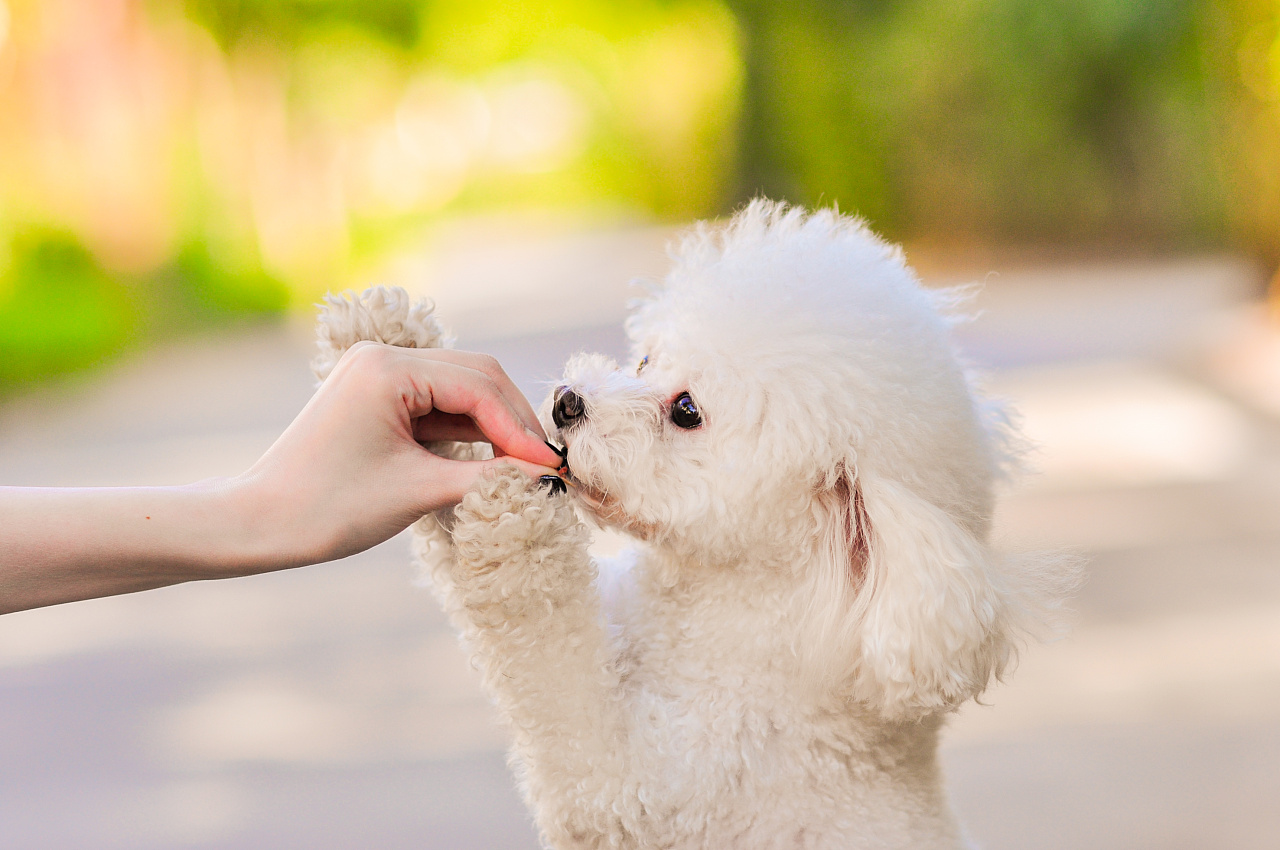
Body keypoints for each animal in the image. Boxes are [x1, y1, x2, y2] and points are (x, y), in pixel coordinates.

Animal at [314, 202, 1075, 844]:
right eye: (646, 358)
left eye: (686, 410)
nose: (566, 402)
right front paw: (383, 339)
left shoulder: (637, 789)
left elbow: (550, 654)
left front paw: (515, 523)